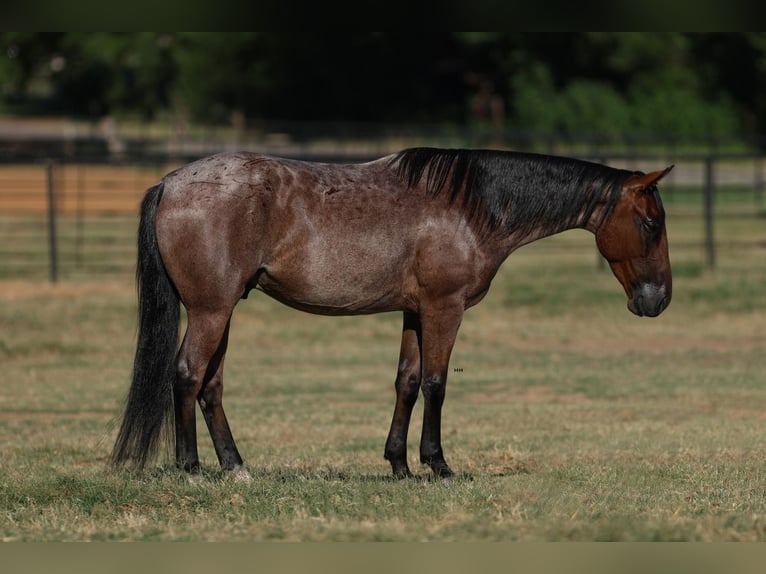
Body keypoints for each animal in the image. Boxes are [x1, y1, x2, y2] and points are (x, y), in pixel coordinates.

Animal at [111, 148, 676, 482]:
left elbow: (406, 381)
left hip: (224, 310)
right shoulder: (444, 308)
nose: (658, 300)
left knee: (210, 385)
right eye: (651, 223)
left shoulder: (414, 311)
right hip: (211, 310)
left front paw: (399, 465)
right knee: (187, 375)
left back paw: (235, 466)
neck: (470, 206)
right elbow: (436, 384)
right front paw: (438, 464)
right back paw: (190, 467)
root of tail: (171, 182)